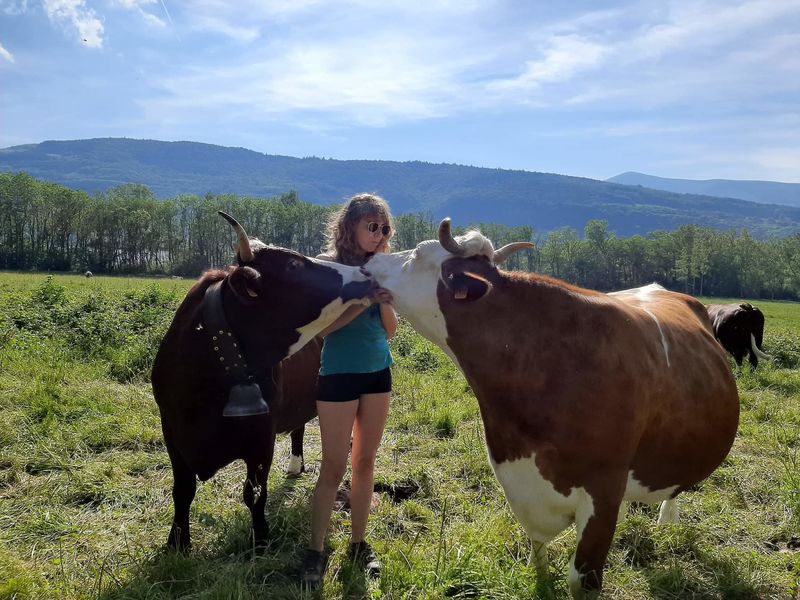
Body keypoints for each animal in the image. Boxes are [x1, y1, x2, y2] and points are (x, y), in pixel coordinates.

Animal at [152, 213, 374, 552]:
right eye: (293, 265)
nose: (364, 272)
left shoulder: (261, 437)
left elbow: (254, 493)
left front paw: (260, 539)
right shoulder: (173, 434)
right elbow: (182, 491)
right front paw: (177, 542)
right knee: (298, 426)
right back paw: (296, 465)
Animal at [366, 220, 740, 600]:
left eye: (416, 254)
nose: (369, 262)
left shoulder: (603, 492)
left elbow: (582, 581)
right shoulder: (523, 485)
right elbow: (538, 551)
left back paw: (667, 517)